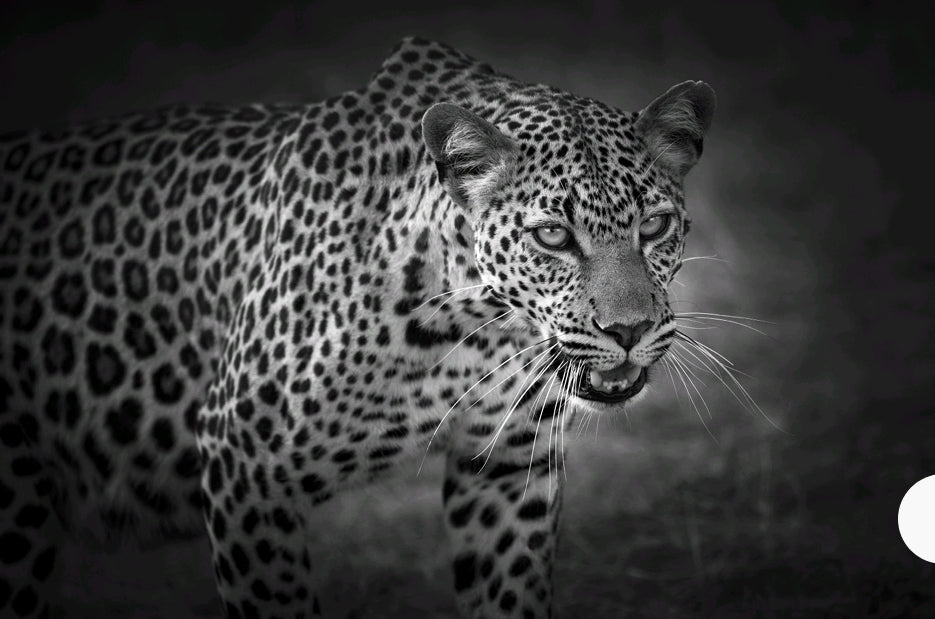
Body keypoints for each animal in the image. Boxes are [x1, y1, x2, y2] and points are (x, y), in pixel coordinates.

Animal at [0, 37, 715, 618]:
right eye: (553, 236)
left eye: (654, 226)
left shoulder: (510, 466)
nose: (630, 330)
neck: (476, 325)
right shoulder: (244, 467)